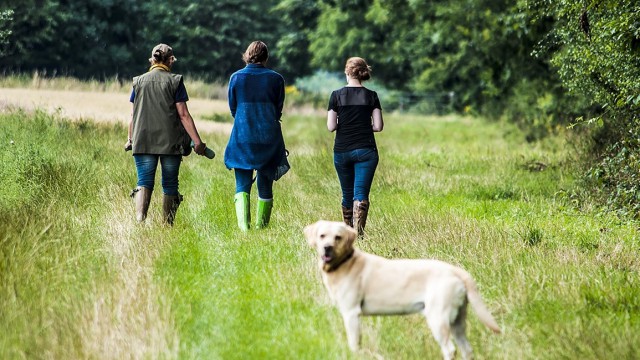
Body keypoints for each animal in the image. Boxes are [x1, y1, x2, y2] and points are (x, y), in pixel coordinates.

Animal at [304, 221, 500, 358]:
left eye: (338, 237)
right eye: (322, 236)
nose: (327, 248)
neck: (346, 262)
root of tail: (456, 271)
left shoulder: (351, 313)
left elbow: (354, 344)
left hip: (438, 318)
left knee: (450, 349)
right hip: (457, 321)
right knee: (467, 349)